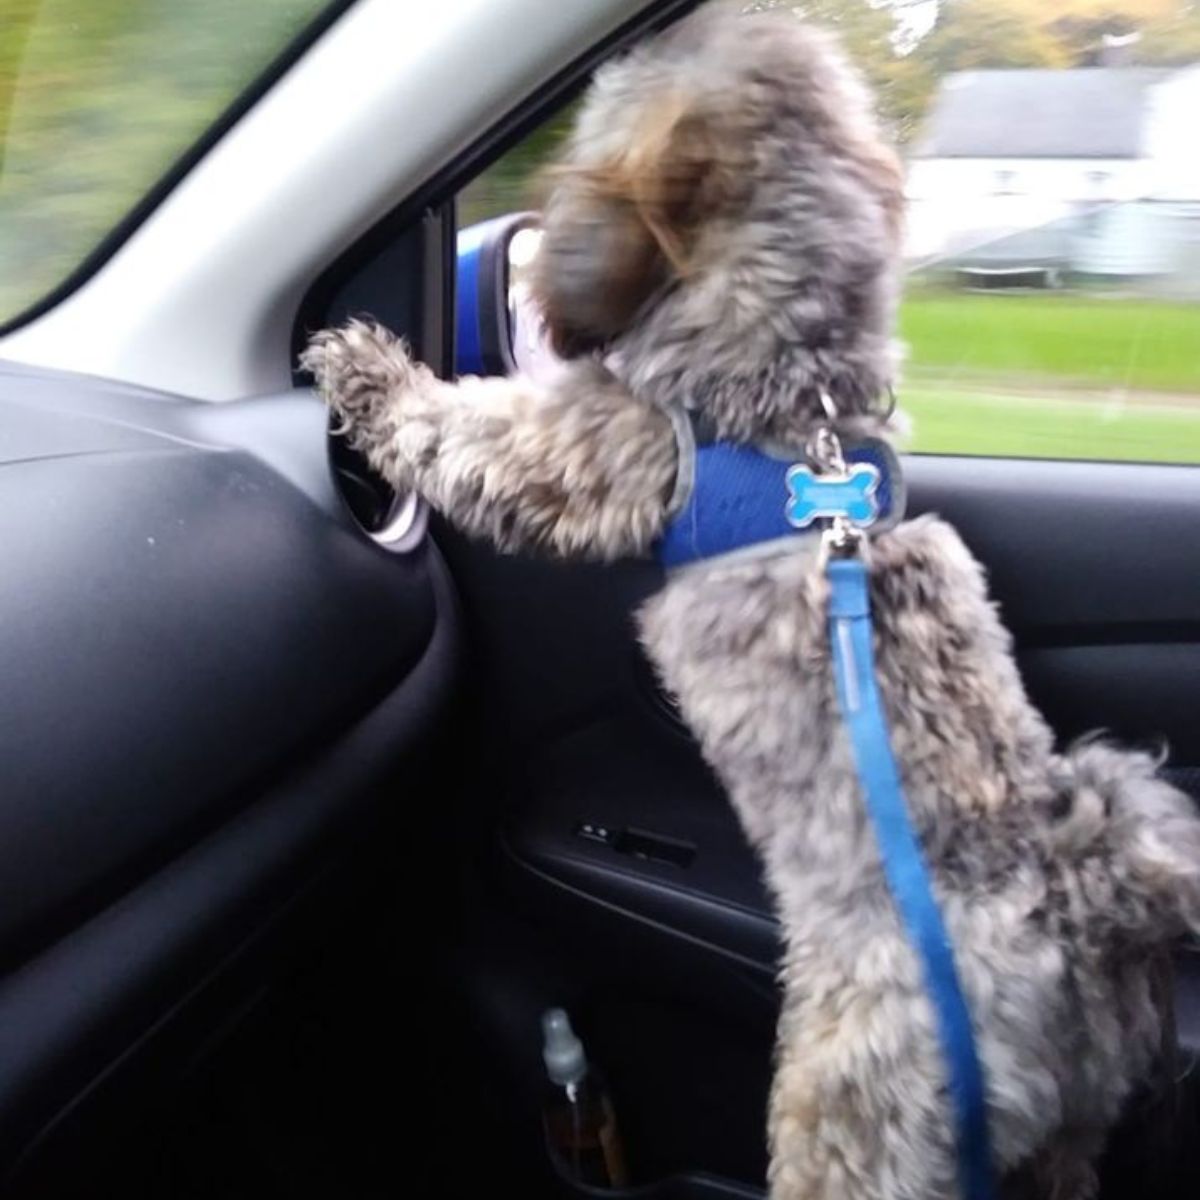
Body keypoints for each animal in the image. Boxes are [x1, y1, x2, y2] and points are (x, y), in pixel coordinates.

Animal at [302, 4, 1200, 1195]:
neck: (792, 372)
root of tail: (1078, 912)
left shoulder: (587, 445)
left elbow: (464, 430)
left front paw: (369, 371)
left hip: (848, 1108)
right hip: (1070, 1133)